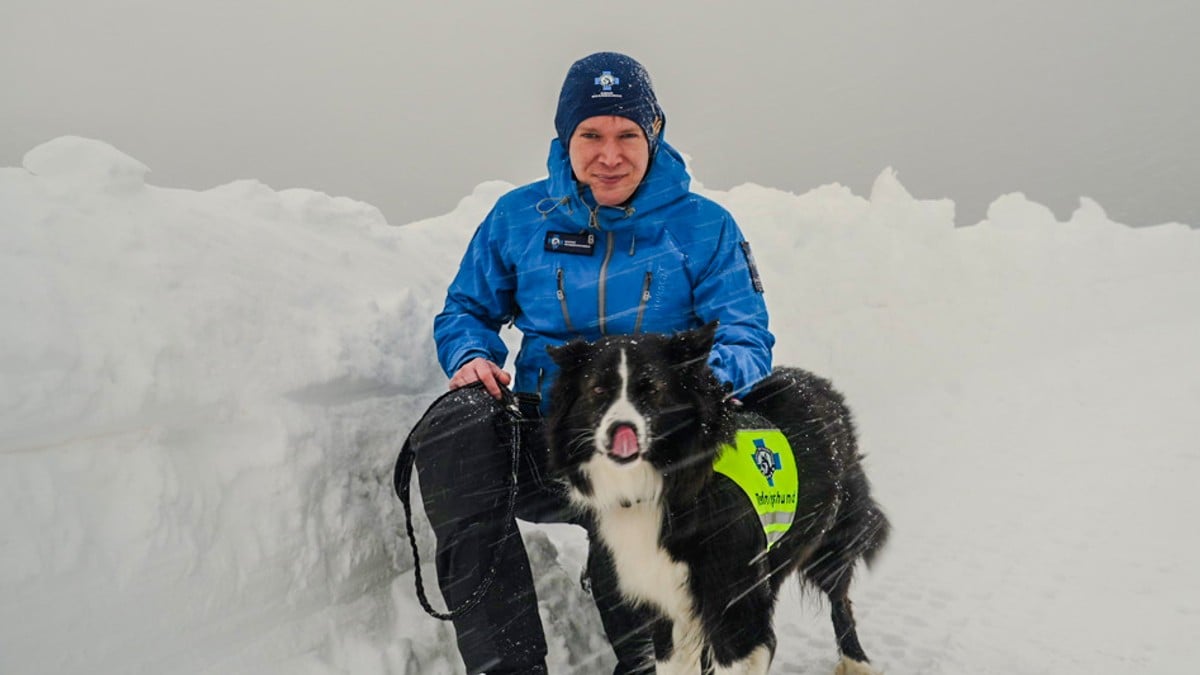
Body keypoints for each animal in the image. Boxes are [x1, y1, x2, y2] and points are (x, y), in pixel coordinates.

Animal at [549, 324, 888, 667]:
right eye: (598, 391)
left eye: (652, 389)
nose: (620, 430)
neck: (669, 486)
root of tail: (822, 386)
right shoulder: (666, 606)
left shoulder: (734, 607)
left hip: (829, 540)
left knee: (839, 597)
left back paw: (856, 660)